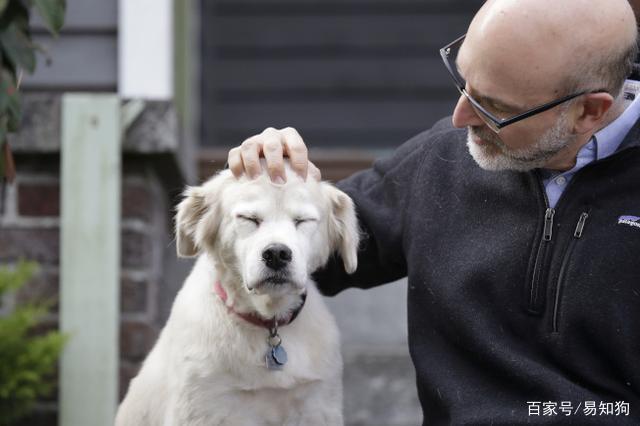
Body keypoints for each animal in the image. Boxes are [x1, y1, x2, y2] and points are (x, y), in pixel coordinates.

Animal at [115, 164, 360, 426]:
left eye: (302, 221)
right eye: (249, 219)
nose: (277, 254)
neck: (267, 321)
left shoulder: (318, 407)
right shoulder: (202, 408)